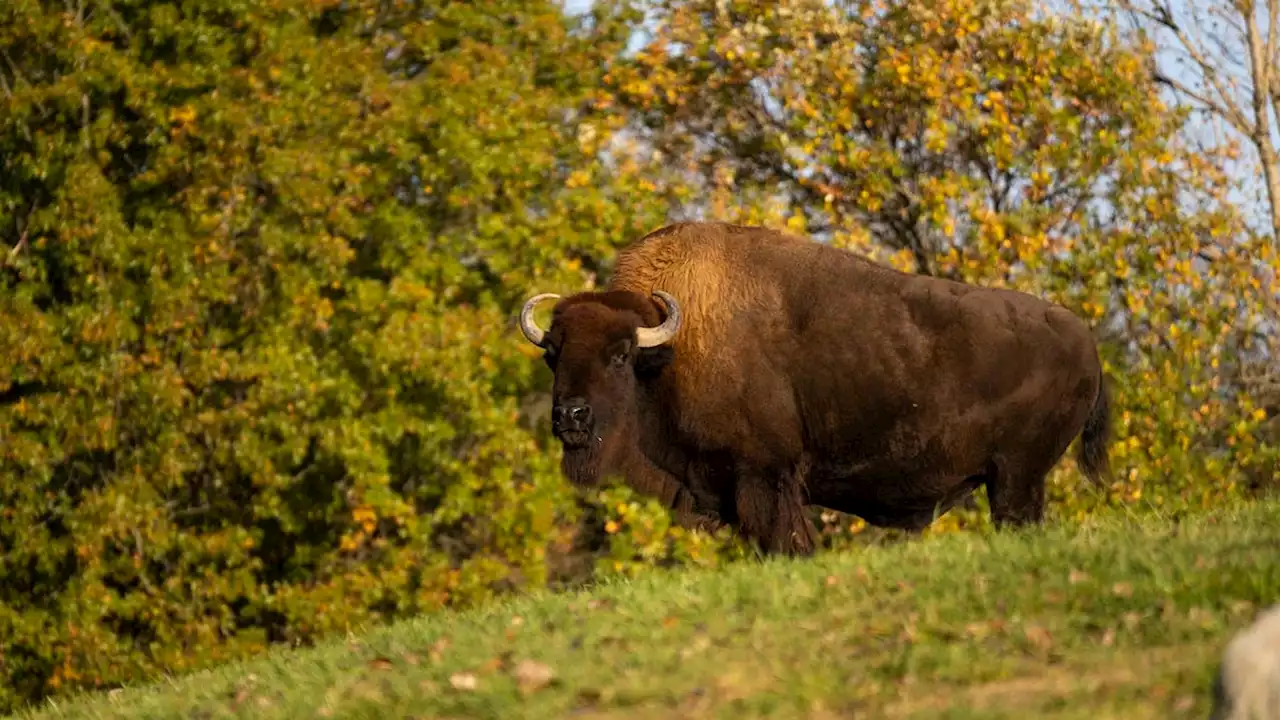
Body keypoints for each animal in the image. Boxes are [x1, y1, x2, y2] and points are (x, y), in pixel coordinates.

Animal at [517, 222, 1111, 556]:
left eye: (620, 355)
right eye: (552, 354)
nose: (570, 417)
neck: (668, 353)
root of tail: (1086, 339)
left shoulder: (764, 475)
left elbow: (785, 539)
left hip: (1015, 478)